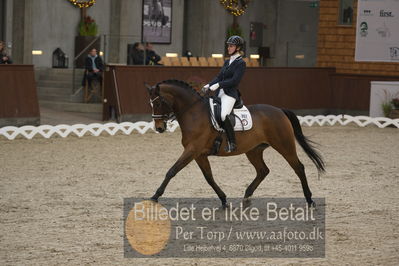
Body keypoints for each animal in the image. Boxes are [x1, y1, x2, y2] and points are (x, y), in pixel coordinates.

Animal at [146, 79, 324, 208]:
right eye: (151, 104)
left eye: (159, 103)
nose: (159, 128)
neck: (193, 113)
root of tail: (279, 110)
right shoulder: (198, 154)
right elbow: (208, 177)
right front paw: (224, 199)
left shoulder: (192, 150)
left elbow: (172, 171)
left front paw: (155, 196)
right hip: (253, 150)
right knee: (263, 170)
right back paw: (247, 196)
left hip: (284, 145)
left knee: (298, 167)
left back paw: (309, 200)